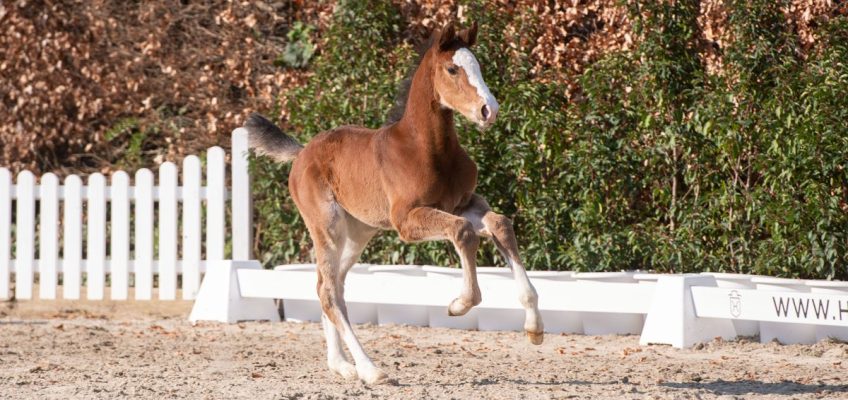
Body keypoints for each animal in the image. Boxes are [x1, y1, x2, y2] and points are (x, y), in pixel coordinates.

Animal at [245, 21, 544, 384]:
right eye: (453, 69)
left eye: (479, 67)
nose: (490, 110)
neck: (428, 150)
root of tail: (302, 153)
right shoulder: (406, 220)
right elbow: (462, 232)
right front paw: (458, 304)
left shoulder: (463, 203)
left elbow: (500, 224)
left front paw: (534, 328)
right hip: (327, 227)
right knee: (328, 292)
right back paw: (370, 369)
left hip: (358, 232)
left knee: (331, 285)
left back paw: (342, 365)